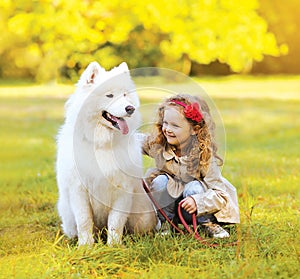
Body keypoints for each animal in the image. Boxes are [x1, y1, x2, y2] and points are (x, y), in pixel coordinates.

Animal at [55, 62, 157, 246]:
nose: (130, 108)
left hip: (144, 217)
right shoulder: (78, 190)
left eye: (125, 95)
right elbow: (84, 221)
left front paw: (114, 246)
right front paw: (86, 246)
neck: (101, 144)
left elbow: (116, 222)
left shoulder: (122, 191)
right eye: (109, 95)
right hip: (67, 215)